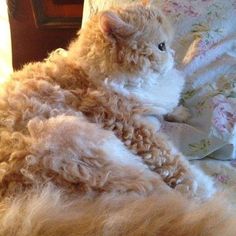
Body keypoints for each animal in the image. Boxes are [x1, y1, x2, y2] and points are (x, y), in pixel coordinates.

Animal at [0, 0, 234, 236]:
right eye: (161, 46)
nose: (173, 54)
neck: (90, 72)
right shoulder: (132, 127)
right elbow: (174, 162)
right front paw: (204, 186)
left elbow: (166, 106)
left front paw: (180, 111)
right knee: (166, 197)